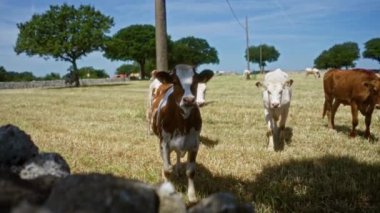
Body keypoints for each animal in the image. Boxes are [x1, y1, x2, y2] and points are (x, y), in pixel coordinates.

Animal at [150, 64, 214, 202]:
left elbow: (190, 172)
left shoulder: (194, 144)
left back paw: (179, 170)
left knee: (179, 154)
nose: (189, 100)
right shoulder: (164, 143)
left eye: (196, 81)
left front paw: (192, 197)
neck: (183, 122)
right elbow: (167, 169)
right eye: (175, 81)